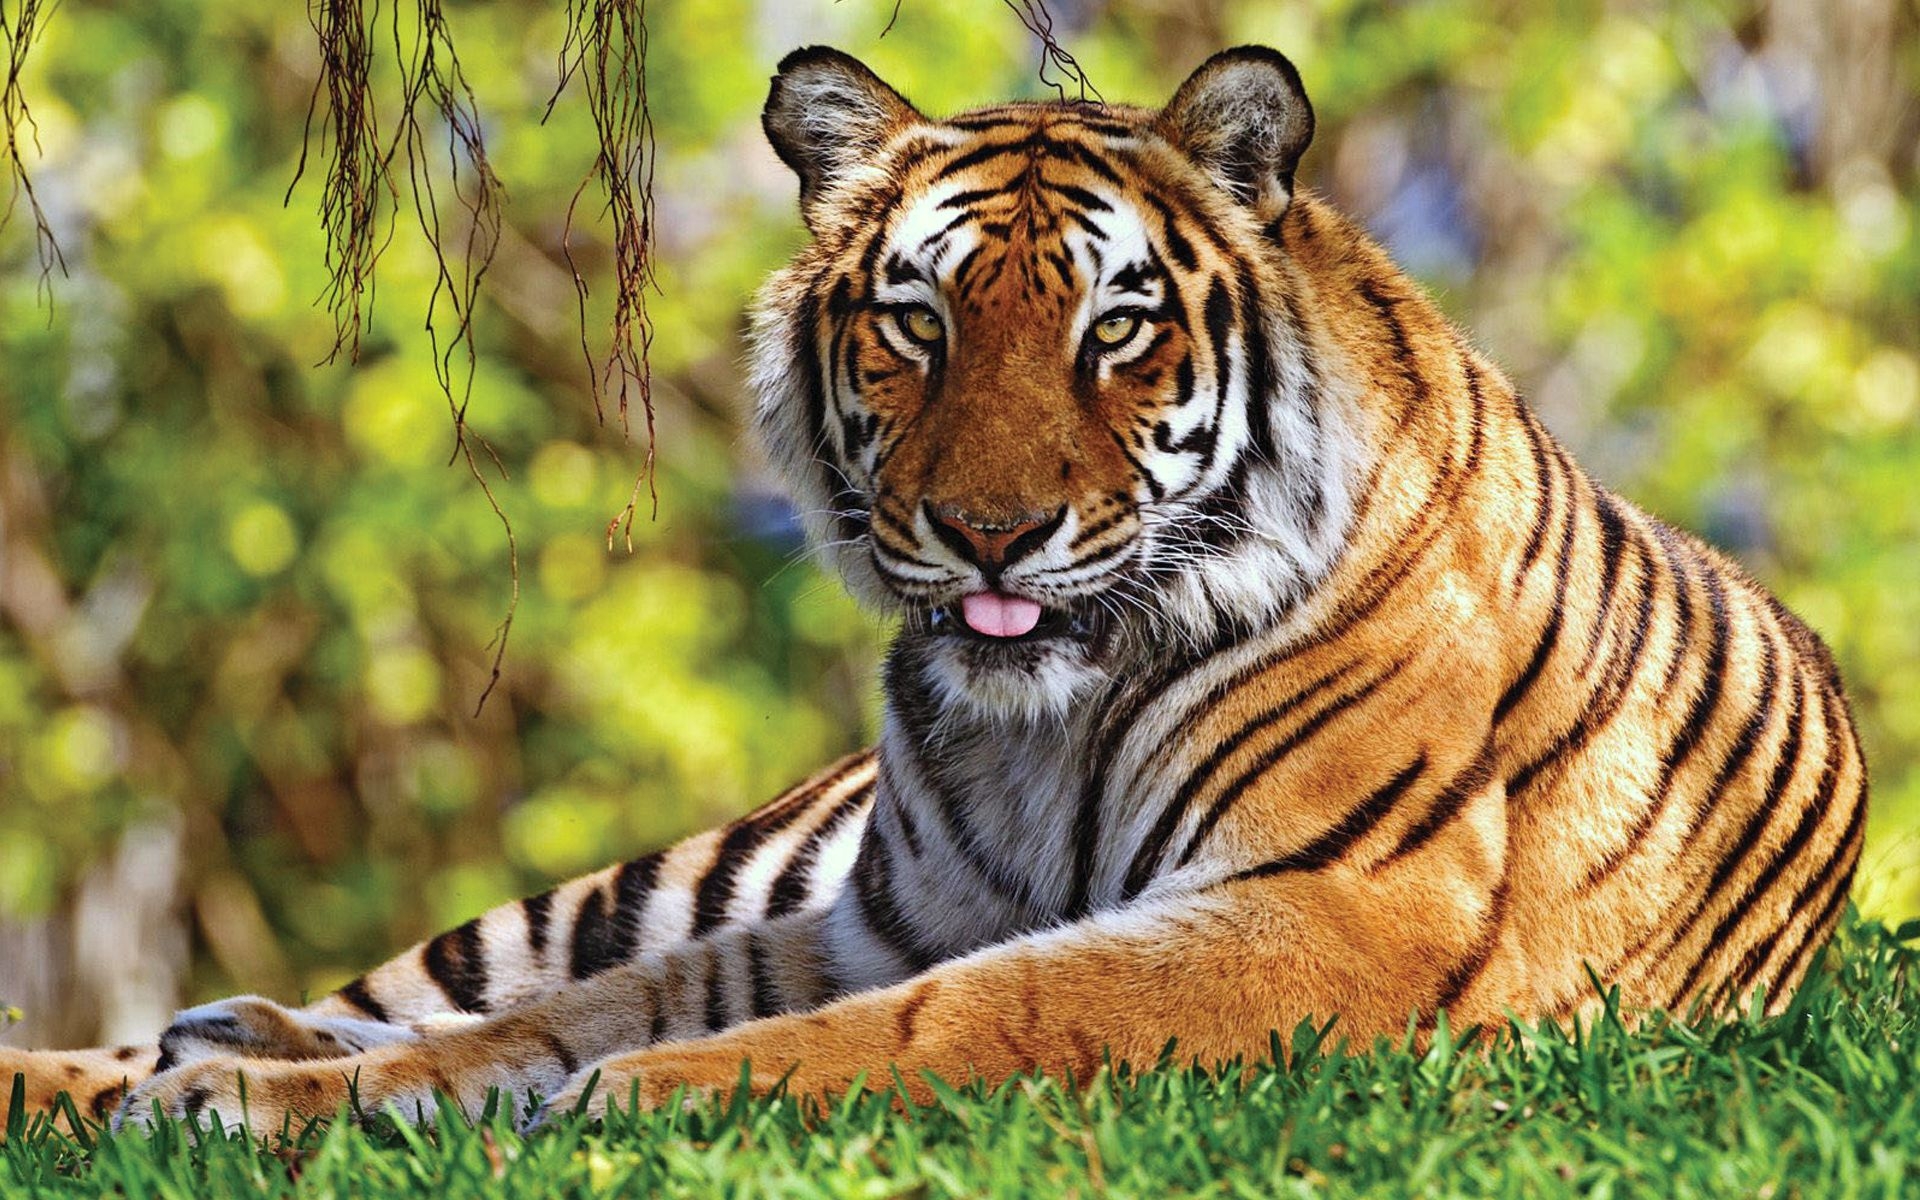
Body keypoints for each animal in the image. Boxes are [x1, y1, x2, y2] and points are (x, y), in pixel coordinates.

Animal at [1, 44, 1867, 1135]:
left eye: (1116, 328)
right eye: (918, 322)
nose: (988, 533)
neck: (1042, 726)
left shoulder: (1331, 913)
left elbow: (964, 1014)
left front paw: (624, 1101)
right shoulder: (870, 915)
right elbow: (554, 1017)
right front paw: (255, 1099)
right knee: (413, 989)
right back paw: (167, 1055)